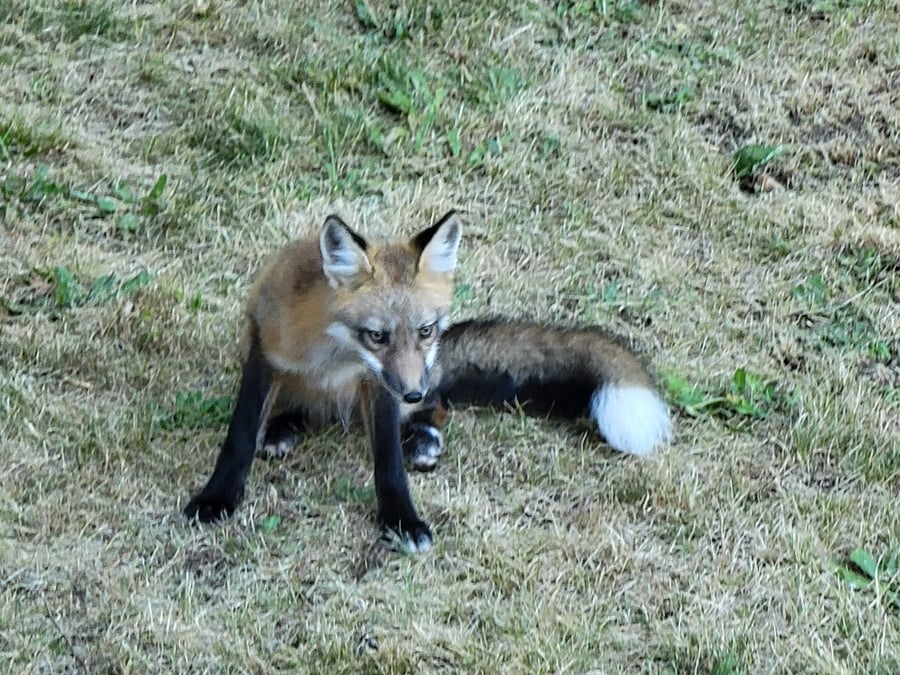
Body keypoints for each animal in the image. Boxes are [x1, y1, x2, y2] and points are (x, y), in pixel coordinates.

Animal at [183, 210, 672, 552]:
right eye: (377, 335)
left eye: (424, 330)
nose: (412, 389)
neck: (334, 355)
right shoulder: (265, 350)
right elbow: (240, 436)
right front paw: (217, 497)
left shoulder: (378, 385)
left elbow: (389, 463)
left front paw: (401, 520)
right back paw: (284, 427)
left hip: (413, 385)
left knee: (437, 402)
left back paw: (423, 437)